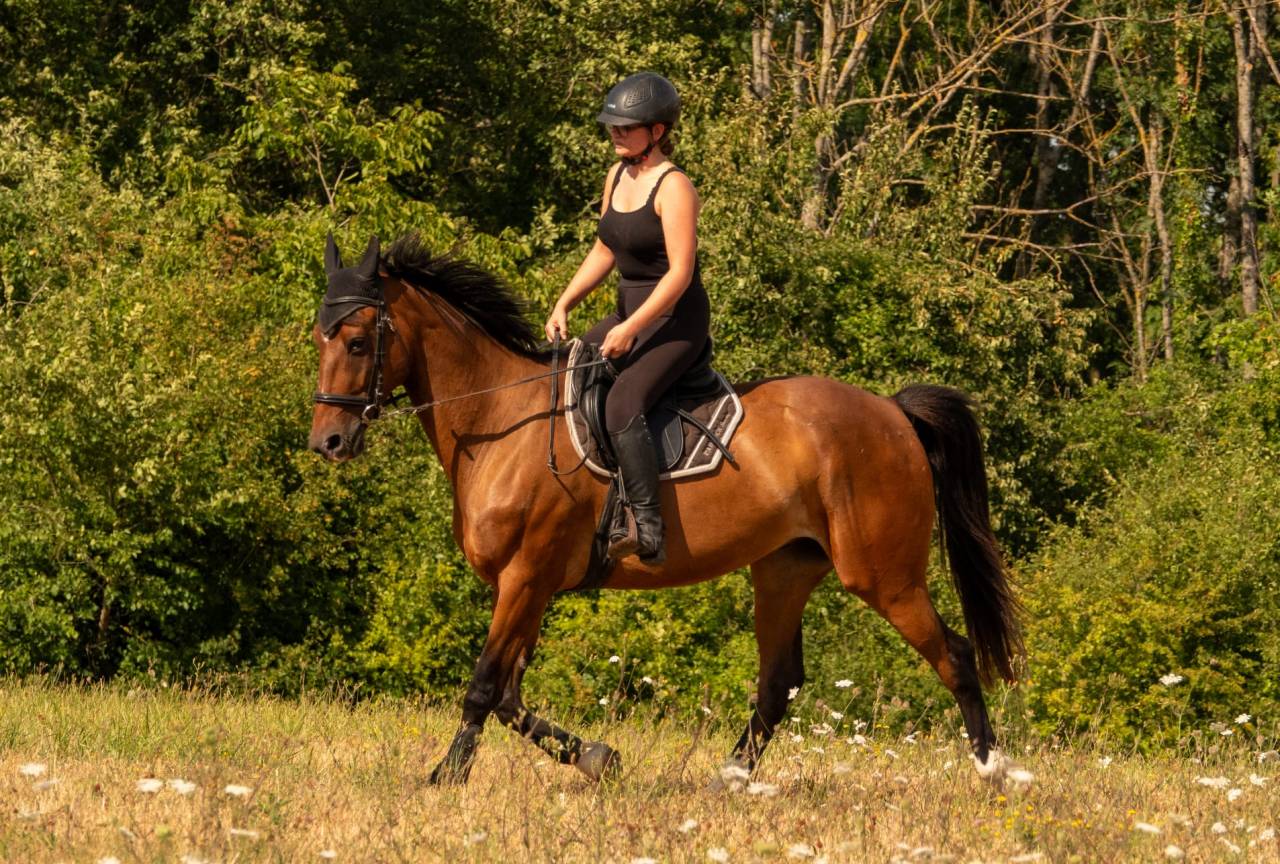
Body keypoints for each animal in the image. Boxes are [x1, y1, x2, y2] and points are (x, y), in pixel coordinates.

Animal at [308, 232, 1023, 786]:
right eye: (320, 337)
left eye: (356, 341)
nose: (328, 443)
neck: (500, 421)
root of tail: (894, 413)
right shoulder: (530, 587)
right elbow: (510, 695)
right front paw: (598, 757)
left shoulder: (526, 578)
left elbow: (485, 686)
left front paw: (445, 777)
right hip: (785, 569)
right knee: (779, 682)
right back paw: (729, 779)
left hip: (883, 575)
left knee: (955, 656)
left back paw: (992, 773)